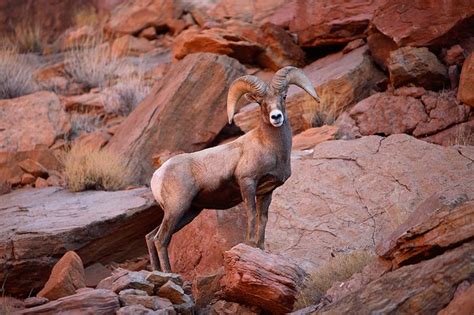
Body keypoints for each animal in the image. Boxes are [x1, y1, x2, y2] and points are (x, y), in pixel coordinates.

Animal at [146, 66, 320, 272]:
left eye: (284, 97)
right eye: (260, 102)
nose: (276, 117)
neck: (269, 146)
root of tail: (157, 176)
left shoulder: (266, 191)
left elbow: (263, 219)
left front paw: (261, 248)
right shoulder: (247, 183)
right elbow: (251, 215)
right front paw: (250, 244)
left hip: (188, 212)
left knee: (150, 237)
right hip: (177, 208)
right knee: (160, 239)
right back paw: (169, 274)